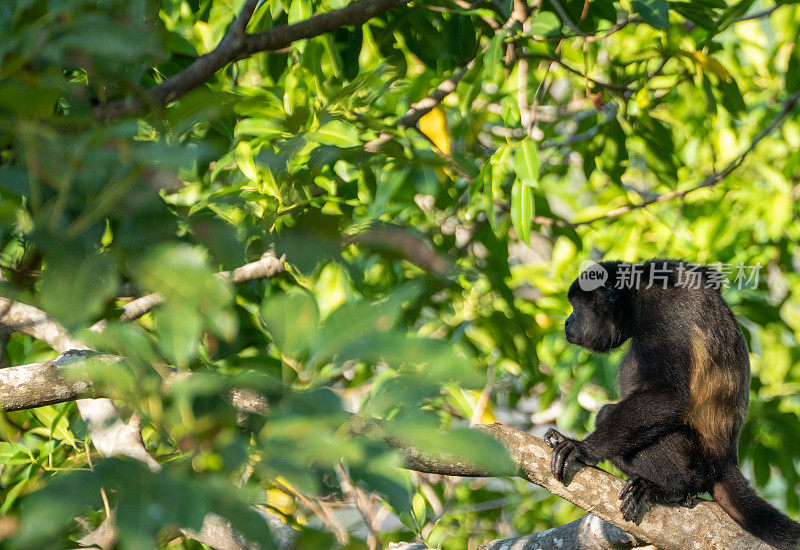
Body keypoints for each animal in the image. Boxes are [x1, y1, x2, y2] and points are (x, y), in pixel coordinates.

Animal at [548, 260, 800, 548]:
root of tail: (726, 459)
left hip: (693, 457)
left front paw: (583, 449)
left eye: (576, 307)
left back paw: (670, 489)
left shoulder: (664, 321)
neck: (639, 294)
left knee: (606, 414)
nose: (567, 321)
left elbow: (666, 395)